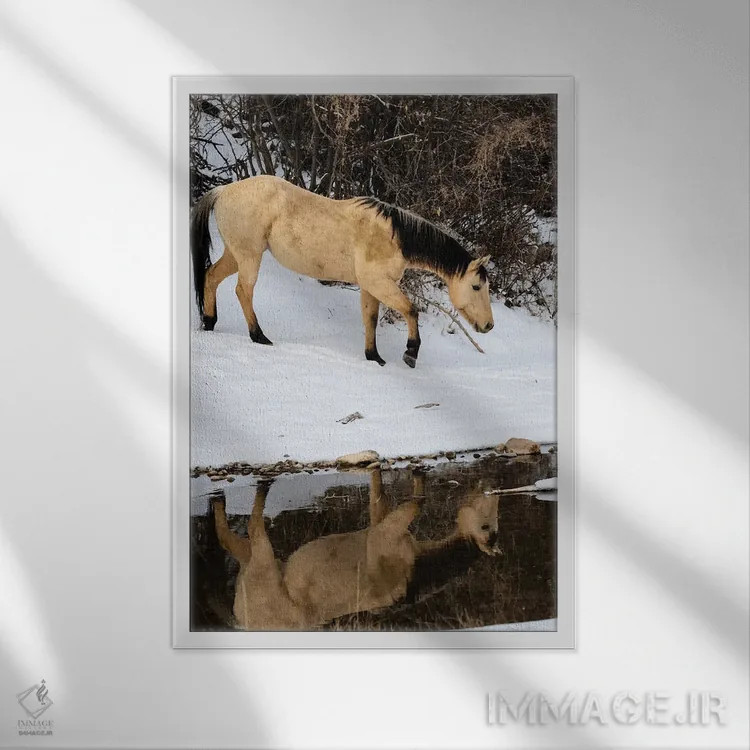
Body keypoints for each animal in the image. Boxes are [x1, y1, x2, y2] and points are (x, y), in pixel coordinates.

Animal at [190, 175, 494, 368]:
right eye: (476, 286)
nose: (489, 325)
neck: (394, 237)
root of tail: (223, 190)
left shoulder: (370, 287)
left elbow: (370, 319)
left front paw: (374, 357)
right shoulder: (380, 283)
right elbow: (411, 310)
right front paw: (410, 353)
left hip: (235, 255)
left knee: (211, 276)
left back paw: (209, 322)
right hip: (249, 256)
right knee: (243, 290)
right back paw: (259, 336)